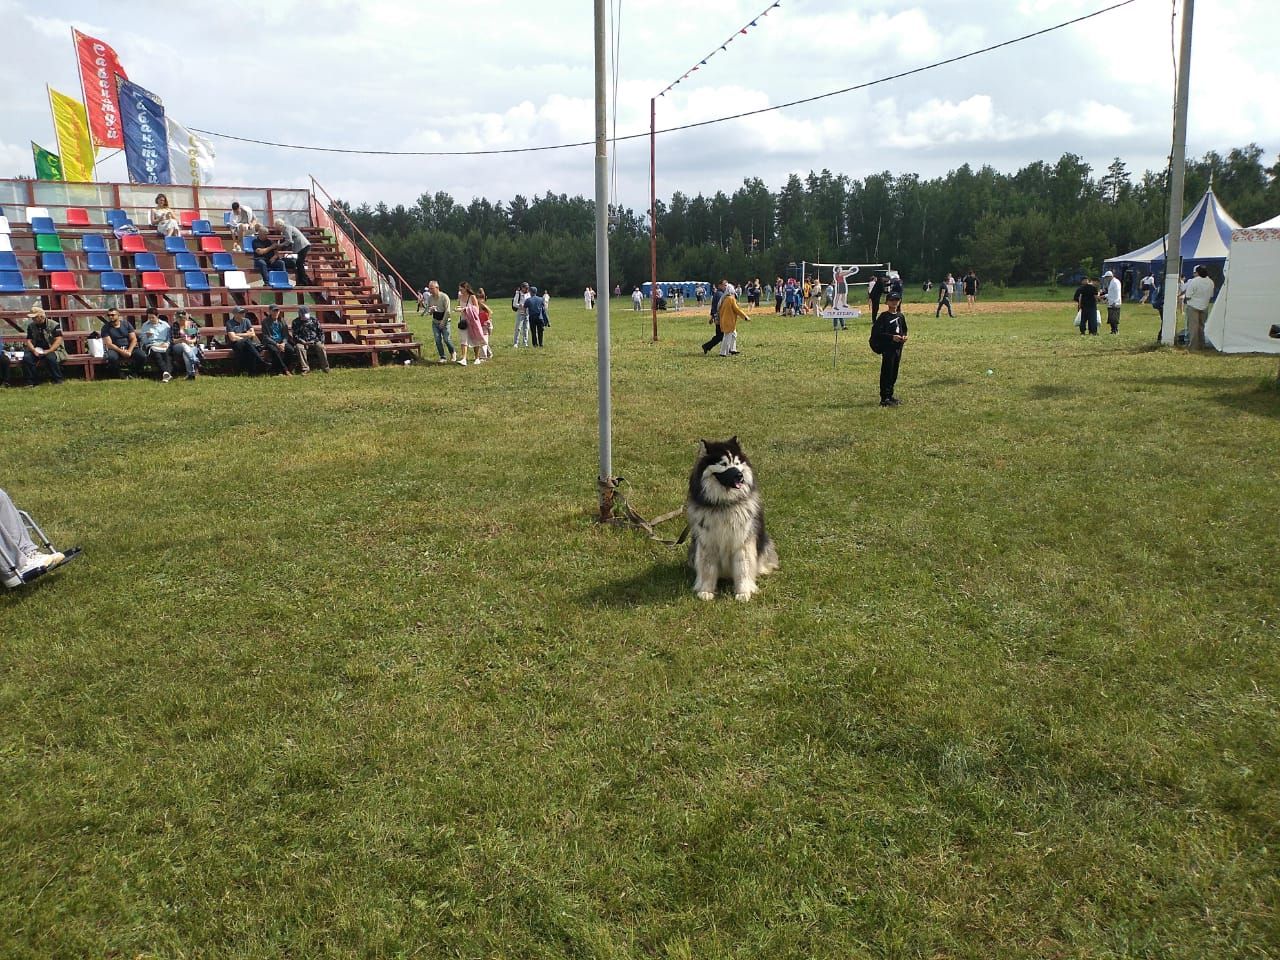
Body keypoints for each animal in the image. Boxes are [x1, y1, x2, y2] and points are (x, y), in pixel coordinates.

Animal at [686, 437, 773, 601]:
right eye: (723, 464)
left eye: (737, 463)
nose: (739, 476)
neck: (724, 504)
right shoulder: (708, 542)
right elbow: (708, 569)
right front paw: (706, 591)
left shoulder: (742, 541)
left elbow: (743, 568)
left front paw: (743, 592)